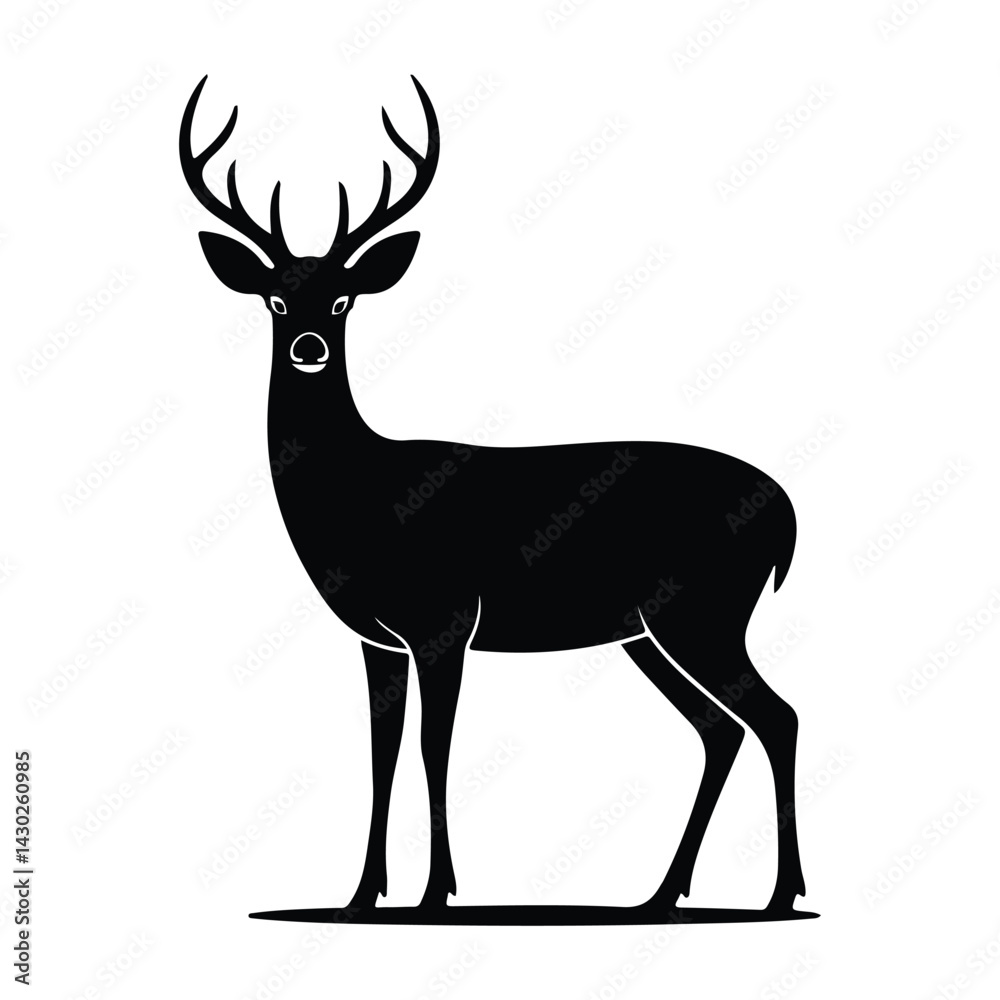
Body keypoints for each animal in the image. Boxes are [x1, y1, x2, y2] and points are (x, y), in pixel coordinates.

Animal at [180, 75, 807, 920]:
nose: (308, 348)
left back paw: (777, 894)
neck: (360, 495)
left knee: (776, 716)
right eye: (276, 301)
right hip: (653, 629)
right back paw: (661, 894)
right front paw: (361, 895)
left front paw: (435, 893)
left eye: (343, 299)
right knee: (723, 728)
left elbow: (432, 748)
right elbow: (381, 752)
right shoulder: (378, 638)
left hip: (703, 609)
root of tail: (786, 514)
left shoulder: (444, 617)